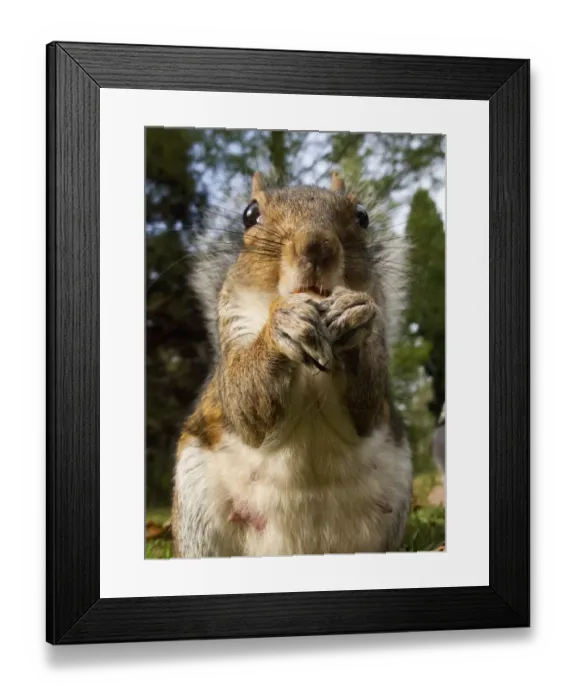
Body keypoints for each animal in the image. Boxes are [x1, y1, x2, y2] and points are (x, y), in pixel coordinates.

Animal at [171, 171, 413, 558]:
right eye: (250, 214)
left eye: (362, 215)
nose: (316, 246)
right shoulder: (235, 326)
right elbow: (244, 399)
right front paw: (281, 325)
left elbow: (368, 401)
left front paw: (351, 313)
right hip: (197, 511)